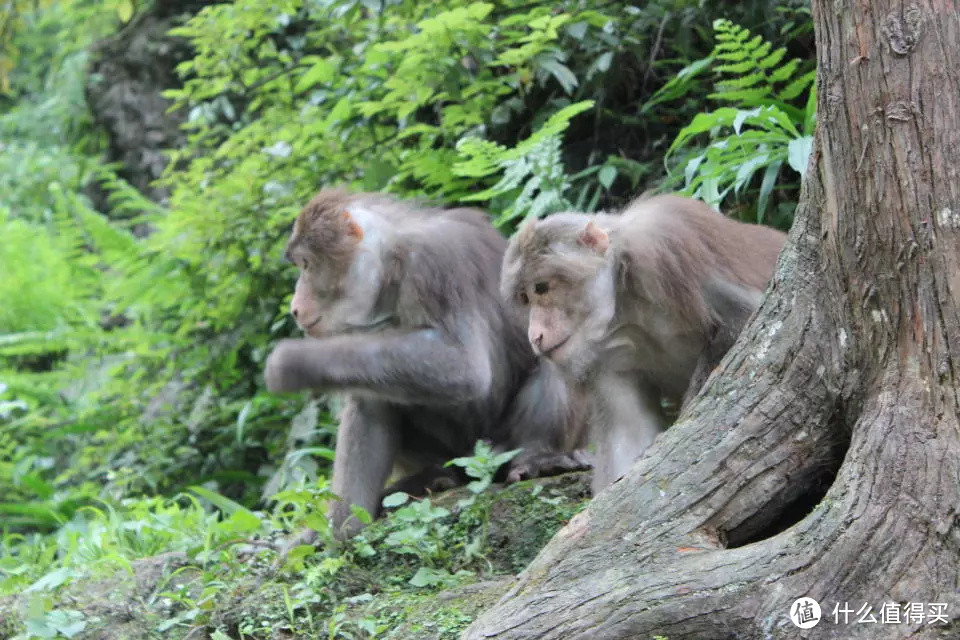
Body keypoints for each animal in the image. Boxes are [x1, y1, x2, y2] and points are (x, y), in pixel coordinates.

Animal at [266, 190, 588, 540]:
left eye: (307, 264)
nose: (295, 307)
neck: (392, 260)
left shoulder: (435, 265)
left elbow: (464, 367)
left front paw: (296, 362)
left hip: (498, 445)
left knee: (553, 352)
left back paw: (538, 457)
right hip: (450, 456)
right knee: (375, 394)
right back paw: (356, 521)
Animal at [498, 192, 784, 492]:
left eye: (542, 287)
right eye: (524, 297)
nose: (535, 335)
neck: (623, 299)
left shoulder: (662, 247)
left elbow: (743, 318)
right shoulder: (606, 359)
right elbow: (629, 433)